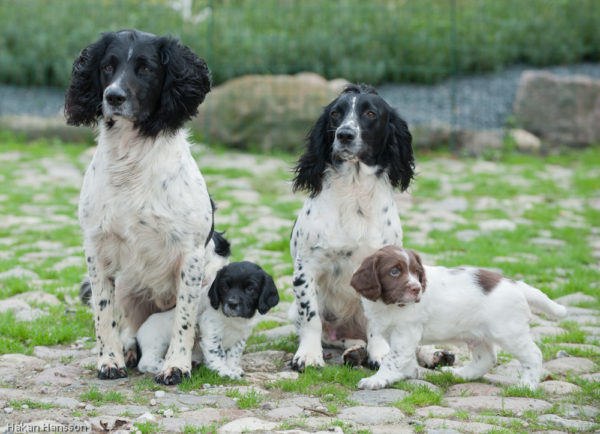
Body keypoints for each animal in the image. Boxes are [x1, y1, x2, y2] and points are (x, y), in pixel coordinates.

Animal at [63, 29, 211, 384]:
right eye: (107, 66)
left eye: (145, 69)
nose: (114, 96)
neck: (131, 160)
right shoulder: (96, 247)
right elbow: (104, 315)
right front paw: (109, 360)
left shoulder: (192, 254)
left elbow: (183, 319)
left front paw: (177, 365)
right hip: (129, 287)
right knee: (130, 326)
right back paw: (129, 351)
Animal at [288, 84, 452, 370]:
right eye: (335, 113)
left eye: (371, 114)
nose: (344, 134)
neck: (354, 193)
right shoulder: (306, 266)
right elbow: (311, 317)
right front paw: (308, 355)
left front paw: (381, 354)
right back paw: (355, 351)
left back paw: (433, 353)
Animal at [350, 246, 564, 392]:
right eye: (394, 271)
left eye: (417, 273)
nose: (417, 289)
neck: (388, 304)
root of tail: (517, 285)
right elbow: (402, 358)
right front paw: (403, 375)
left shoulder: (406, 331)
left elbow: (392, 359)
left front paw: (378, 379)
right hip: (478, 333)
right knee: (486, 359)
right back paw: (460, 374)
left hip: (508, 332)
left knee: (533, 354)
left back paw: (526, 385)